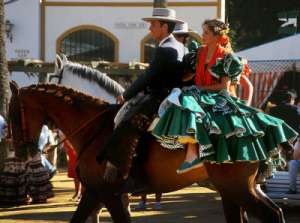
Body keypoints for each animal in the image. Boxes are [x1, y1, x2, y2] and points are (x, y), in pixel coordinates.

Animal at [9, 83, 284, 222]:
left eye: (12, 112)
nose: (21, 153)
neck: (94, 129)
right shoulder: (97, 193)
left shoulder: (107, 193)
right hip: (234, 189)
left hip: (237, 188)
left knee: (271, 215)